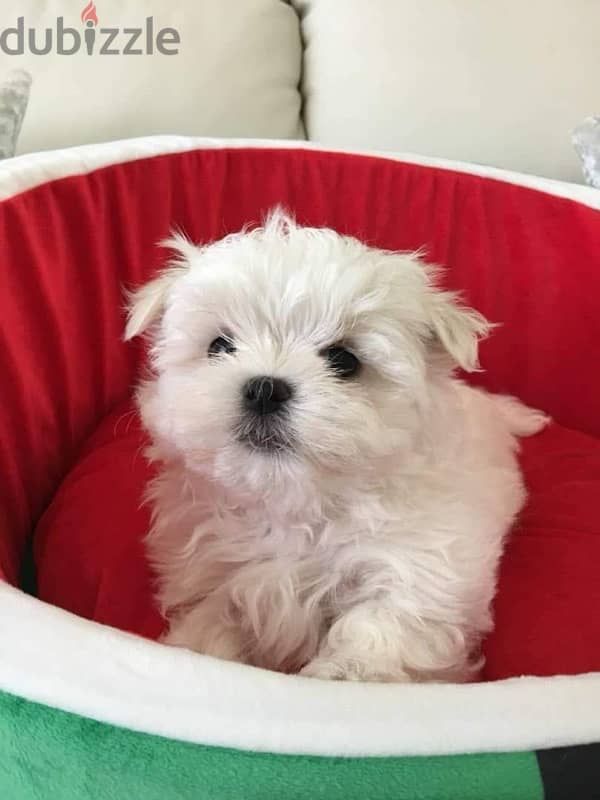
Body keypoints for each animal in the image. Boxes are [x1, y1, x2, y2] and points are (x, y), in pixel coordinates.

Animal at [126, 209, 548, 684]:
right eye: (220, 345)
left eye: (345, 360)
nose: (265, 389)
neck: (294, 502)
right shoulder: (216, 571)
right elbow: (215, 623)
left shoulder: (415, 571)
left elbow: (377, 630)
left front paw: (340, 675)